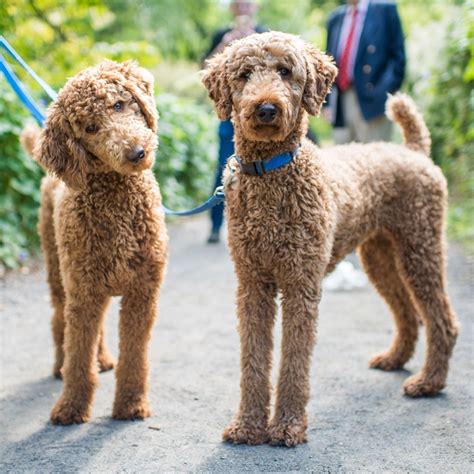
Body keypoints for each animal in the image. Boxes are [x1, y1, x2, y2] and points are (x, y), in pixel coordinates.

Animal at [23, 60, 169, 426]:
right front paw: (70, 407)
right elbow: (78, 358)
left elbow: (135, 357)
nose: (136, 152)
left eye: (119, 104)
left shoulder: (142, 292)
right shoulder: (83, 292)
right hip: (60, 273)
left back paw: (101, 359)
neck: (117, 198)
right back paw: (60, 365)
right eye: (90, 127)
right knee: (59, 321)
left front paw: (131, 404)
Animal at [203, 33, 460, 448]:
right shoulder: (252, 285)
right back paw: (394, 359)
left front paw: (288, 427)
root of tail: (413, 150)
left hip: (421, 248)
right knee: (407, 312)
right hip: (380, 257)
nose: (266, 109)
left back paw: (428, 383)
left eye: (285, 71)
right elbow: (253, 360)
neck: (271, 172)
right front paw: (247, 426)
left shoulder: (300, 285)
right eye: (244, 74)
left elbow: (294, 360)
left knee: (442, 320)